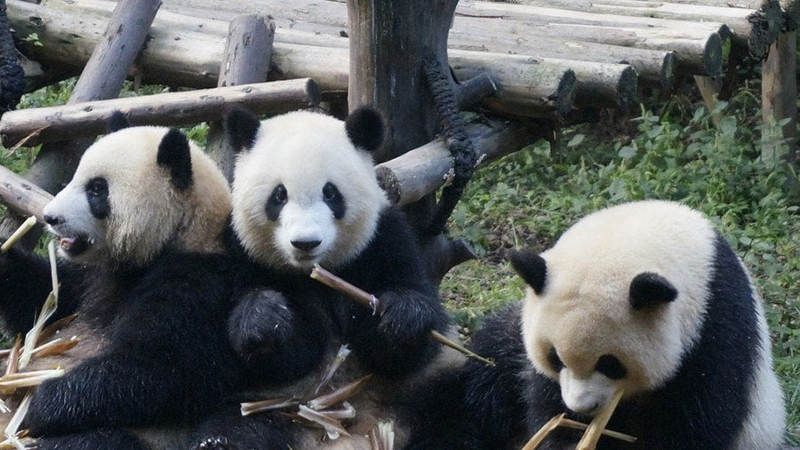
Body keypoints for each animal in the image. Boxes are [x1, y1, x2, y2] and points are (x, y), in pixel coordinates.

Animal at [0, 115, 239, 449]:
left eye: (97, 189)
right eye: (75, 177)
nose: (50, 217)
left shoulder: (198, 283)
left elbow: (158, 370)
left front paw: (38, 406)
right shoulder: (90, 279)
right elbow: (42, 302)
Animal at [190, 107, 463, 450]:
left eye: (330, 193)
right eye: (279, 196)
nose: (305, 243)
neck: (315, 272)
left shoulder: (384, 238)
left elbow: (408, 343)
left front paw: (401, 317)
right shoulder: (242, 252)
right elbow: (286, 353)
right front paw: (265, 316)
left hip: (423, 389)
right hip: (270, 406)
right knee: (236, 429)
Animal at [461, 200, 786, 449]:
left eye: (610, 364)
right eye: (555, 358)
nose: (581, 408)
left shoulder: (714, 330)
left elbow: (697, 420)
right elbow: (547, 406)